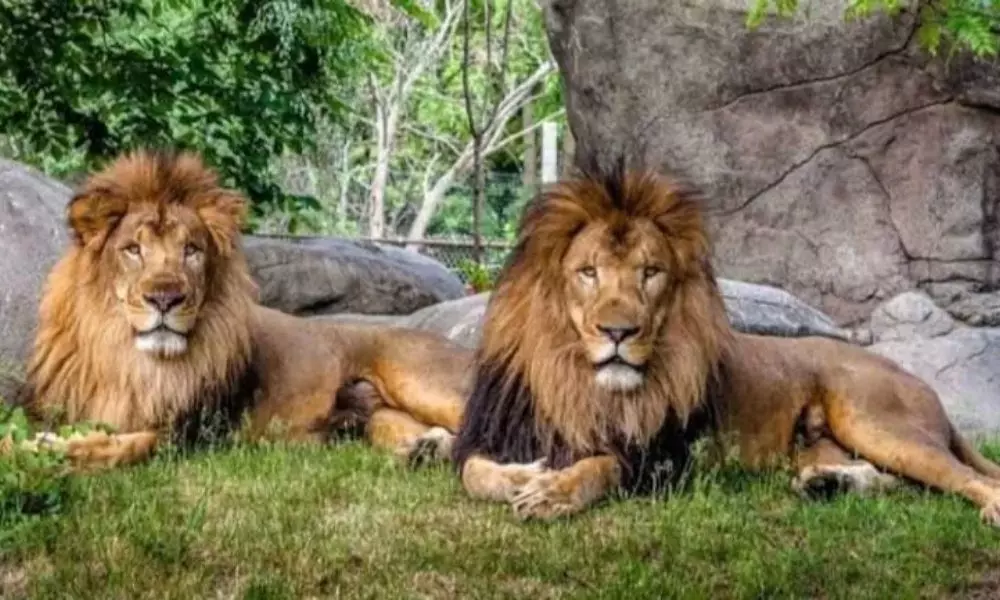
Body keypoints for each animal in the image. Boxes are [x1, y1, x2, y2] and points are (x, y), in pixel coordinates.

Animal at [17, 149, 469, 470]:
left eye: (191, 251)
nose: (165, 298)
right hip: (381, 418)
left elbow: (135, 445)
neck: (133, 360)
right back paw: (427, 450)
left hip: (420, 381)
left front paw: (52, 451)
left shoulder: (199, 434)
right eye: (132, 249)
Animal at [451, 158, 1000, 526]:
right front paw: (524, 476)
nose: (618, 332)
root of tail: (918, 381)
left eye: (650, 273)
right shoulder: (488, 434)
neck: (575, 379)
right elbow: (474, 473)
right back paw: (828, 483)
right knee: (902, 484)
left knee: (967, 478)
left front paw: (552, 492)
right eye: (588, 272)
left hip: (875, 419)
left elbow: (602, 466)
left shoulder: (662, 460)